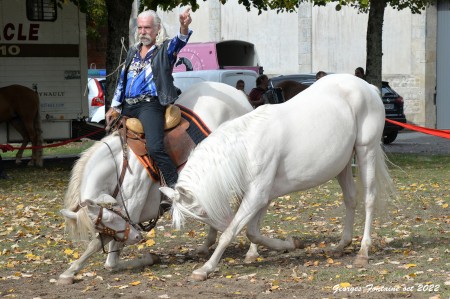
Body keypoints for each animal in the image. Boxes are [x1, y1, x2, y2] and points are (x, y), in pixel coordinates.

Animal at [58, 82, 256, 286]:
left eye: (112, 219)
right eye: (102, 224)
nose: (137, 237)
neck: (119, 165)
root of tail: (238, 95)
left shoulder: (131, 211)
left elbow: (105, 255)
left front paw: (149, 258)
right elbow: (100, 246)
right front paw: (70, 271)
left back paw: (252, 251)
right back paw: (206, 245)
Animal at [162, 74, 394, 282]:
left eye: (201, 212)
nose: (220, 224)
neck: (247, 146)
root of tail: (368, 88)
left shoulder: (257, 195)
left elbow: (232, 232)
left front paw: (206, 268)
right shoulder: (261, 195)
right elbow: (253, 232)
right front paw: (290, 244)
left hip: (366, 151)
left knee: (369, 199)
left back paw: (363, 252)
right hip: (343, 164)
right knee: (350, 199)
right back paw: (341, 245)